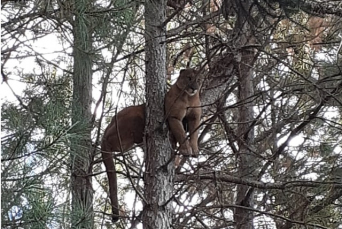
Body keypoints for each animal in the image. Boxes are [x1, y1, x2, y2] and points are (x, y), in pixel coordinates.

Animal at [103, 68, 202, 222]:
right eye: (189, 78)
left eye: (198, 80)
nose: (194, 88)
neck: (189, 98)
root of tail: (104, 133)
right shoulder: (174, 117)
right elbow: (181, 133)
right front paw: (186, 149)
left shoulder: (194, 118)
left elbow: (194, 135)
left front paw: (195, 150)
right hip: (133, 117)